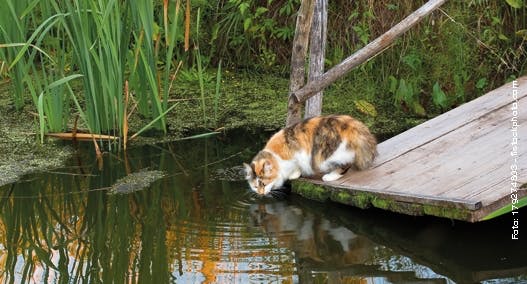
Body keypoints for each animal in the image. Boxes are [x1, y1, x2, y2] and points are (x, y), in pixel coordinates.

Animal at [245, 113, 378, 195]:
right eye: (255, 186)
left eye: (263, 183)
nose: (260, 194)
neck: (275, 155)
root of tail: (354, 126)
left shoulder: (297, 156)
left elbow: (296, 167)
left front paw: (294, 175)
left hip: (327, 156)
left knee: (345, 165)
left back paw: (330, 176)